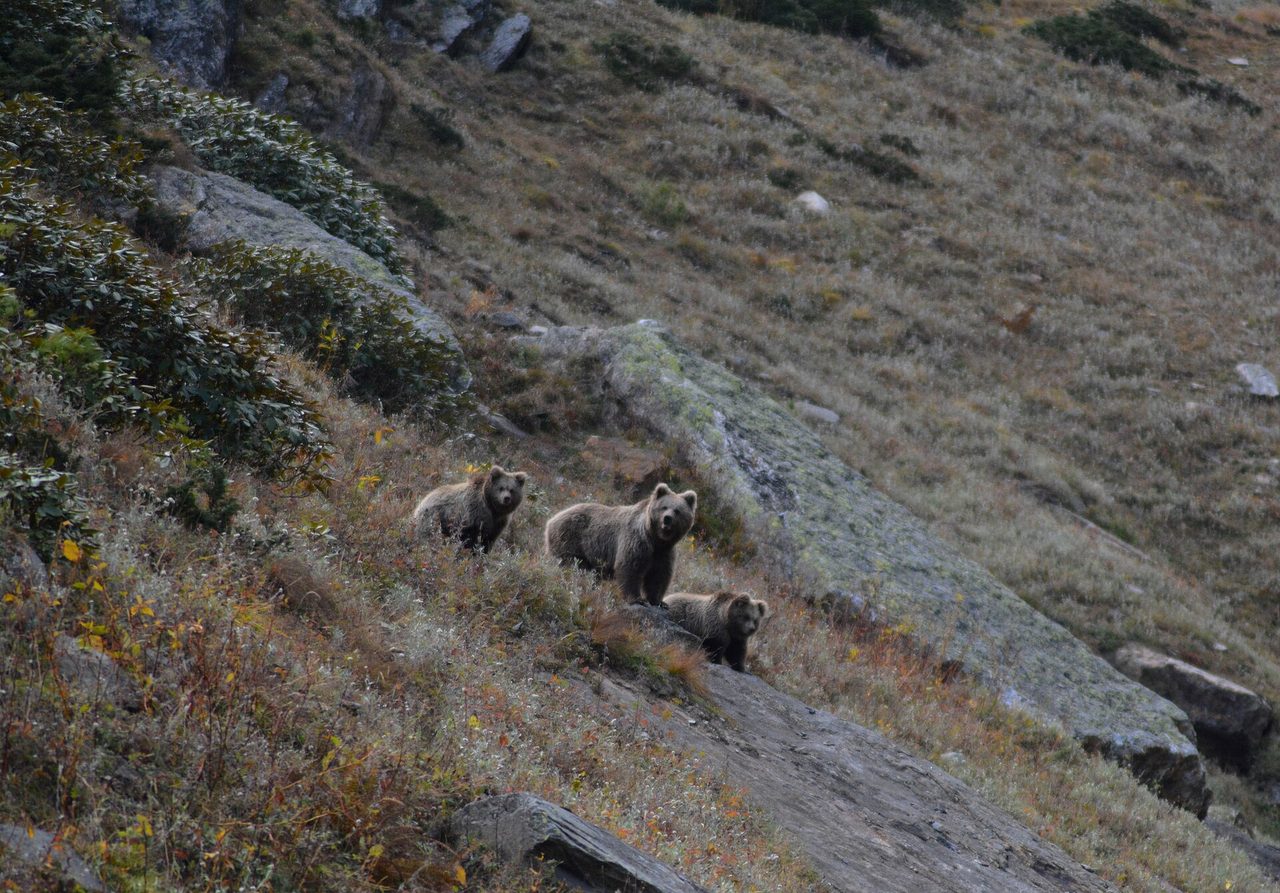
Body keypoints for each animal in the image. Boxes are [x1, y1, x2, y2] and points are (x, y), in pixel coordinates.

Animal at [543, 483, 697, 606]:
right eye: (664, 507)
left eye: (677, 510)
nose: (667, 519)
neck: (656, 539)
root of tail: (551, 520)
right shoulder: (636, 540)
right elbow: (630, 567)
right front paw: (637, 599)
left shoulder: (664, 552)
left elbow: (659, 575)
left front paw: (659, 601)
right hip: (570, 539)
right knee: (572, 564)